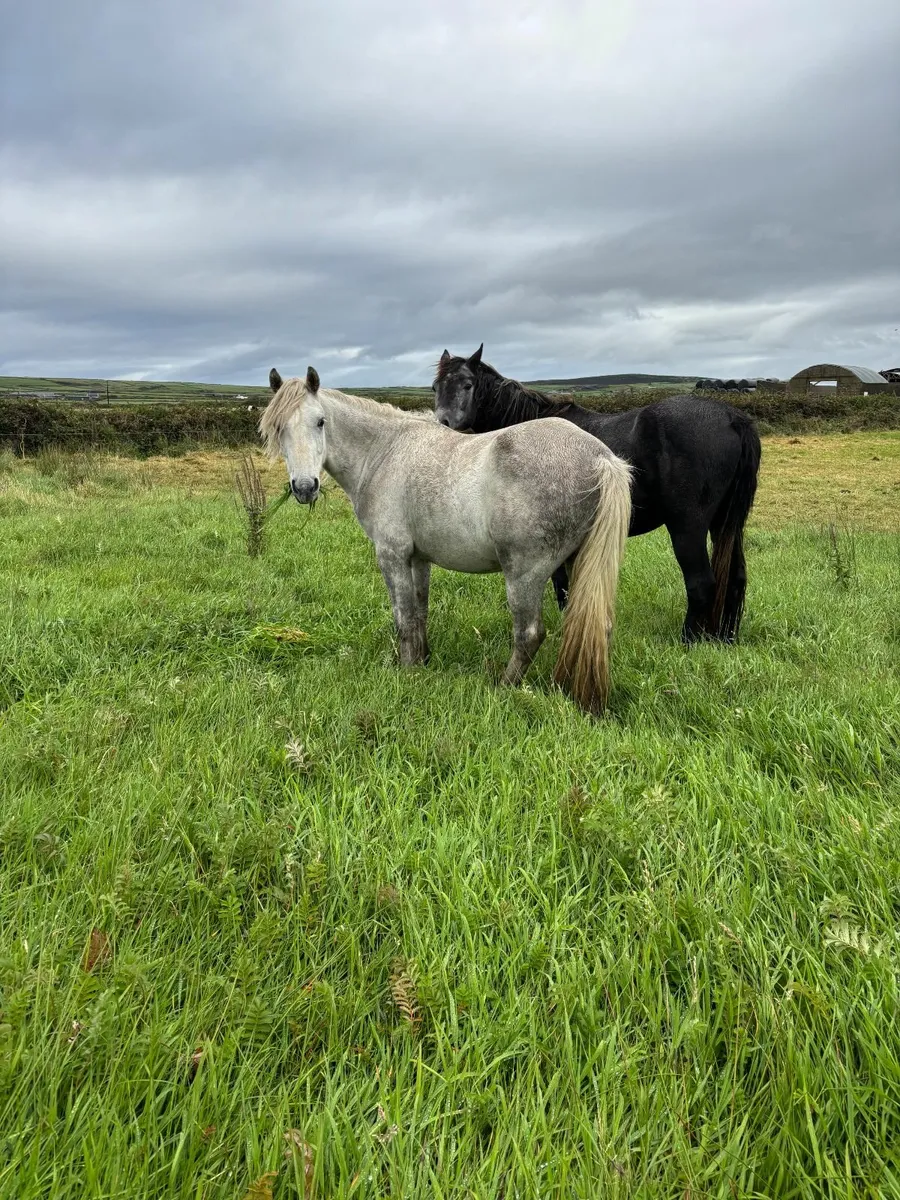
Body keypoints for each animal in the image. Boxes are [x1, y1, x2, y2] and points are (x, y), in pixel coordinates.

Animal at [261, 367, 633, 714]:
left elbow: (403, 617)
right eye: (279, 428)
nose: (305, 487)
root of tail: (600, 458)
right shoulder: (418, 559)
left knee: (529, 634)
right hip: (576, 566)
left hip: (524, 575)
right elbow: (420, 612)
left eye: (320, 421)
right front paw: (422, 661)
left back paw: (504, 688)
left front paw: (407, 672)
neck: (384, 452)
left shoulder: (392, 556)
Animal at [433, 345, 761, 644]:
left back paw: (688, 641)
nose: (442, 425)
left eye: (467, 384)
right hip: (726, 524)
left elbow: (562, 585)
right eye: (436, 386)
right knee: (735, 578)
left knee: (701, 582)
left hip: (687, 527)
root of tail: (731, 418)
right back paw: (725, 638)